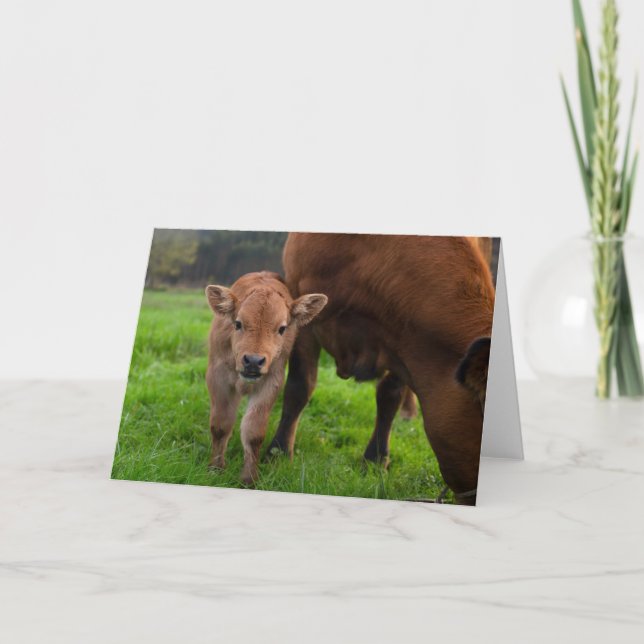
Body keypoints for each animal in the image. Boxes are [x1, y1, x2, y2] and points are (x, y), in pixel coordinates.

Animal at [205, 271, 327, 486]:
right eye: (238, 323)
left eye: (282, 328)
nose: (253, 361)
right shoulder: (218, 378)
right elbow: (221, 425)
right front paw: (215, 468)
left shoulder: (271, 382)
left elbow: (253, 432)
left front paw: (249, 479)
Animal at [266, 234, 495, 504]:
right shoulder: (301, 302)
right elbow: (300, 386)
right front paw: (277, 453)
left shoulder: (404, 342)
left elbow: (389, 396)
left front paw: (375, 459)